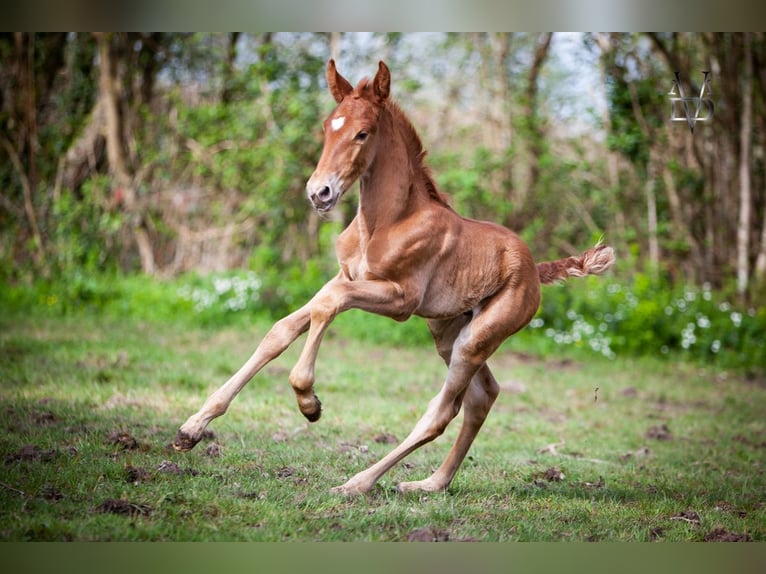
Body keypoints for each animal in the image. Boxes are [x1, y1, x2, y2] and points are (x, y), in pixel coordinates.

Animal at [176, 60, 616, 498]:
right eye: (327, 127)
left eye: (362, 133)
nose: (319, 192)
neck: (386, 222)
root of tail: (536, 269)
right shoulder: (345, 276)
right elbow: (283, 329)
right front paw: (192, 428)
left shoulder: (400, 300)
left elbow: (329, 304)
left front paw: (309, 402)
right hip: (448, 332)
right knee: (482, 397)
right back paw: (431, 483)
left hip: (477, 338)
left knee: (442, 411)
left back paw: (358, 483)